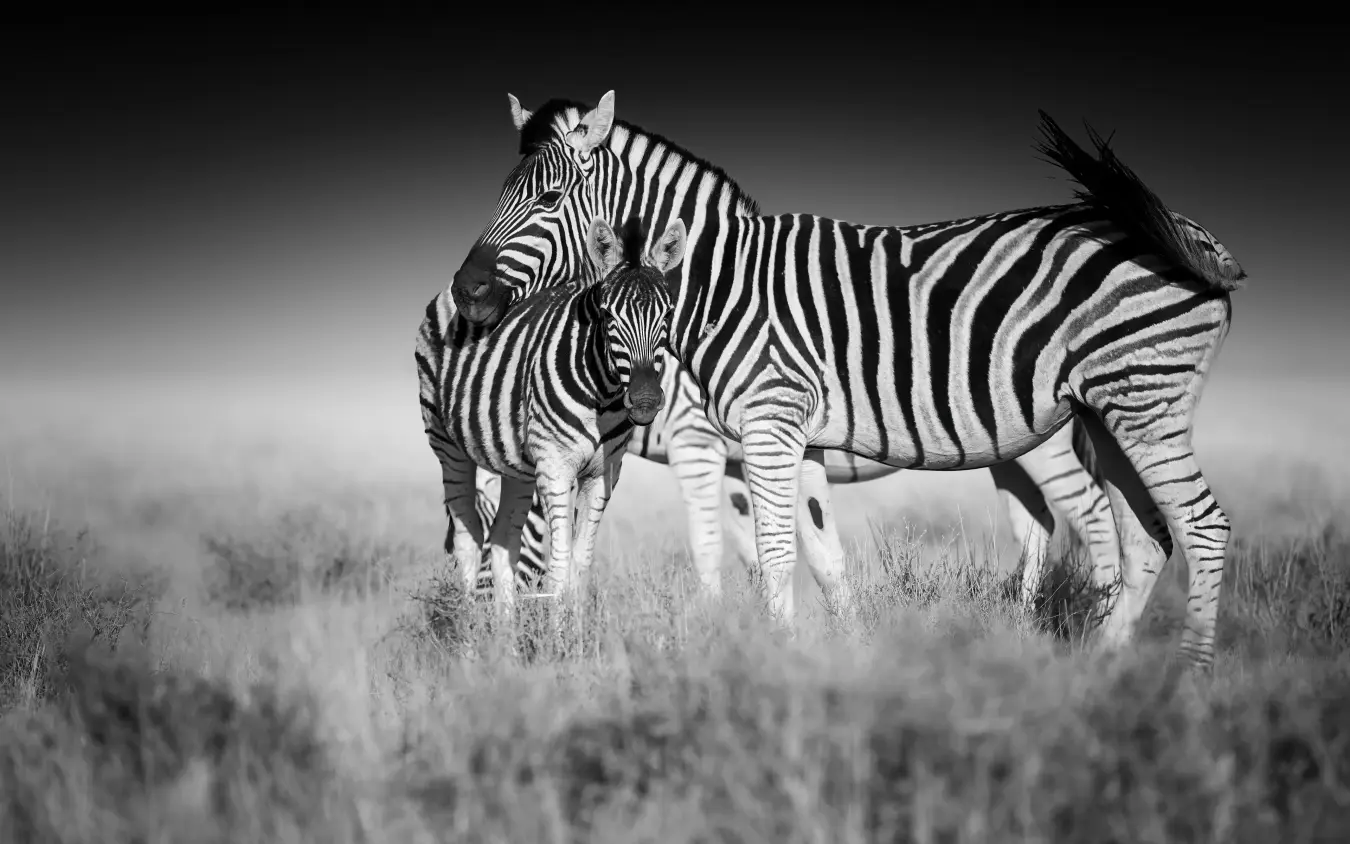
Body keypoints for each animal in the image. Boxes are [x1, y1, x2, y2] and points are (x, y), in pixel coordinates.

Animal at [417, 213, 683, 601]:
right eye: (607, 315)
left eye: (668, 314)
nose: (646, 400)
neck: (603, 398)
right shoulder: (556, 468)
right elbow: (558, 566)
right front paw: (559, 620)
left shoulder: (604, 473)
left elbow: (580, 565)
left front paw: (577, 619)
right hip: (446, 443)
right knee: (468, 540)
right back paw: (469, 618)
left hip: (517, 465)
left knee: (503, 542)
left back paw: (505, 620)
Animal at [446, 91, 1245, 670]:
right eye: (503, 192)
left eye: (549, 200)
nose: (466, 293)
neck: (716, 284)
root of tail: (1188, 232)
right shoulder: (779, 439)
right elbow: (812, 556)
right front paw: (822, 651)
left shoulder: (739, 431)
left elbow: (752, 552)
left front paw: (760, 659)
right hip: (1106, 411)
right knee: (1137, 537)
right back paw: (1096, 669)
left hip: (1134, 403)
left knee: (1187, 527)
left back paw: (1187, 683)